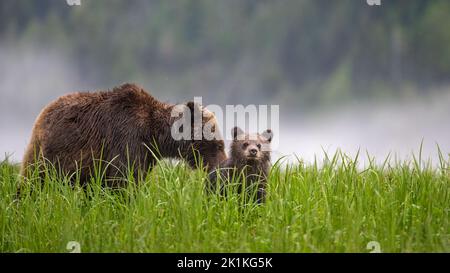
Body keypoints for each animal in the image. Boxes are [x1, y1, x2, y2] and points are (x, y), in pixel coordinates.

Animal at [21, 82, 227, 186]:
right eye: (218, 145)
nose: (221, 167)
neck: (154, 135)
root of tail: (42, 114)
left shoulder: (146, 154)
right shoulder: (126, 139)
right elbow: (123, 180)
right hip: (53, 154)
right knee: (34, 183)